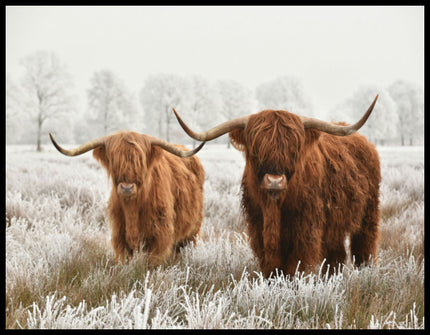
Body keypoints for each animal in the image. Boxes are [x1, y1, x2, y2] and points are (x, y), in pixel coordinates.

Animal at [50, 131, 205, 266]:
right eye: (114, 160)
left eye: (140, 161)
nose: (126, 188)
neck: (133, 208)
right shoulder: (119, 236)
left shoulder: (160, 237)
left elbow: (153, 265)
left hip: (193, 230)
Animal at [173, 95, 382, 278]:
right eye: (256, 149)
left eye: (294, 150)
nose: (274, 181)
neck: (274, 207)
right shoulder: (258, 229)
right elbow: (272, 268)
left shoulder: (306, 232)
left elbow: (295, 268)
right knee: (336, 255)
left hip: (368, 215)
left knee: (364, 247)